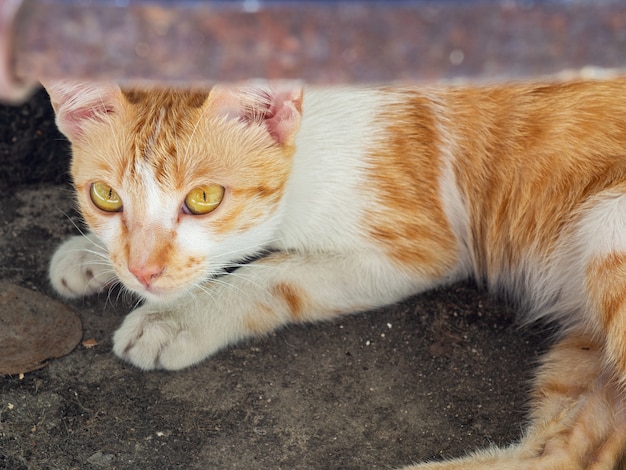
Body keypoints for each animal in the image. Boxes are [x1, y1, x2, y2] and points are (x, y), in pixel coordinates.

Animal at [41, 79, 624, 468]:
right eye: (105, 195)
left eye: (204, 198)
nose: (143, 270)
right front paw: (90, 255)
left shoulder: (425, 246)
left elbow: (273, 270)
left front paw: (178, 318)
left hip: (607, 225)